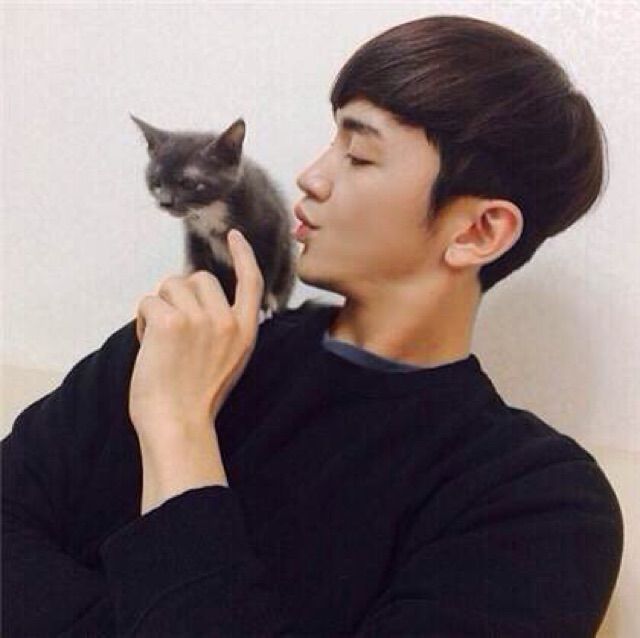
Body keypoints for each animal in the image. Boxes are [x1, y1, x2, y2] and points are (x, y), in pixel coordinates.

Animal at [131, 114, 296, 316]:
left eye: (187, 183)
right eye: (156, 182)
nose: (165, 202)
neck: (211, 210)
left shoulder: (271, 225)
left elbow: (266, 267)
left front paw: (263, 304)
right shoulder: (196, 239)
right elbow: (202, 270)